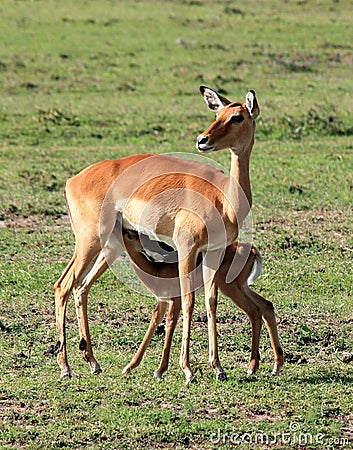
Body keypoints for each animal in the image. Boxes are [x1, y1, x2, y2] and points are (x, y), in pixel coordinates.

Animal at [121, 229, 284, 380]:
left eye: (132, 234)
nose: (121, 228)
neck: (157, 270)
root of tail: (250, 249)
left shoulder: (175, 300)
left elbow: (170, 325)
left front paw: (160, 371)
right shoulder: (163, 301)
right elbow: (154, 322)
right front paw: (129, 367)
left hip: (231, 288)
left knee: (254, 311)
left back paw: (251, 368)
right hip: (241, 287)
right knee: (266, 306)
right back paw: (273, 367)